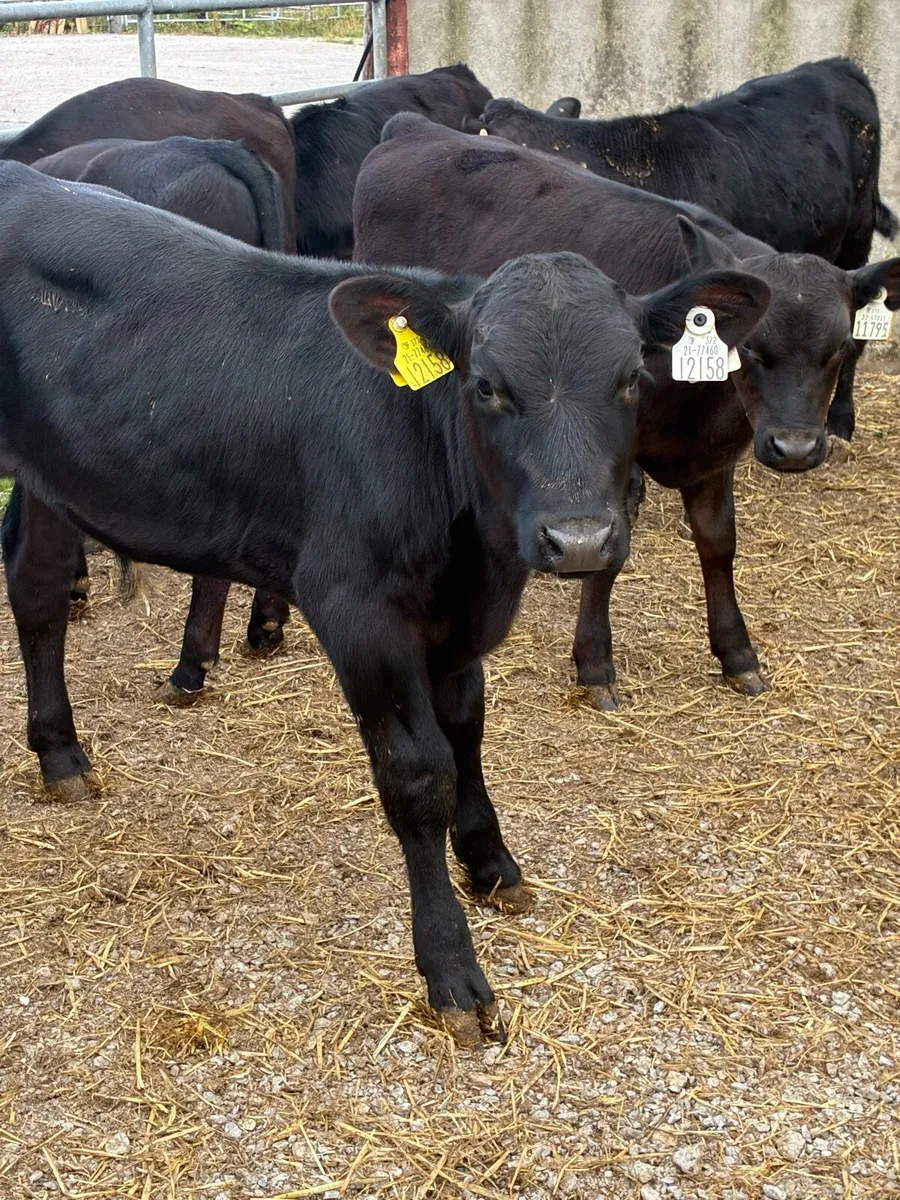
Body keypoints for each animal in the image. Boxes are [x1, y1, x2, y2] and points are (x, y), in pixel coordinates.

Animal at [352, 116, 900, 709]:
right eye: (752, 347)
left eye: (841, 347)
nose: (796, 449)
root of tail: (413, 127)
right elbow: (607, 553)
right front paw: (595, 663)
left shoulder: (715, 458)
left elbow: (719, 542)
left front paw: (737, 653)